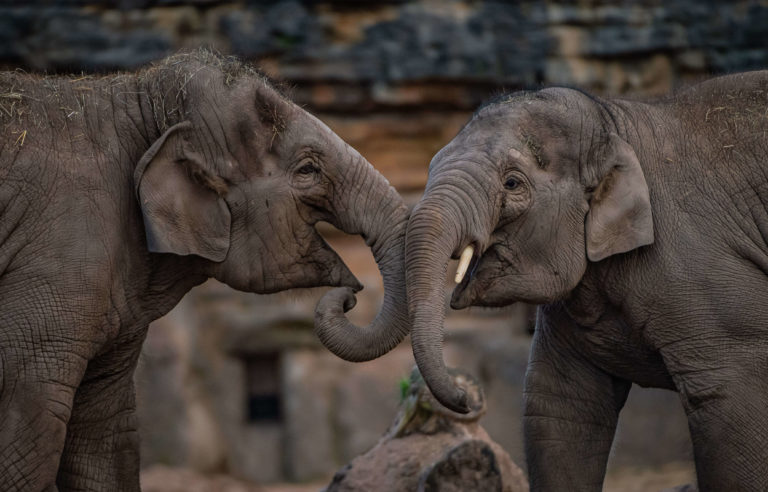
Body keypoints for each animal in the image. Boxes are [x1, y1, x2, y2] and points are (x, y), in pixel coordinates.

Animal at [0, 50, 408, 491]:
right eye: (307, 170)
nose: (352, 297)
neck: (135, 99)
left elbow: (104, 432)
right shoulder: (59, 255)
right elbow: (25, 420)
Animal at [405, 71, 768, 491]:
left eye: (512, 184)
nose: (465, 395)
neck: (616, 123)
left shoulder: (702, 269)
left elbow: (728, 399)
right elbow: (563, 407)